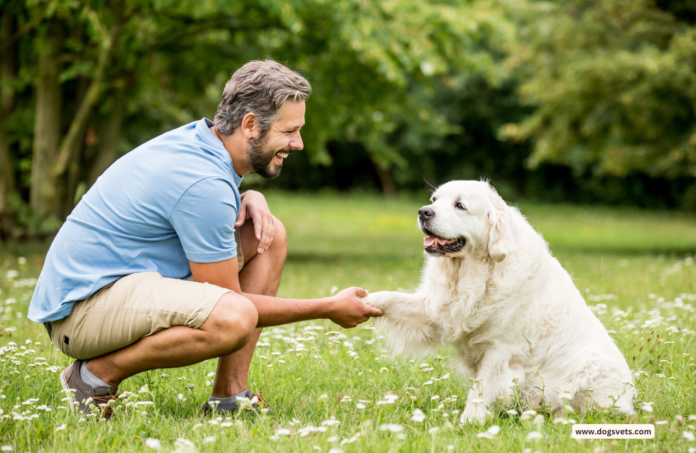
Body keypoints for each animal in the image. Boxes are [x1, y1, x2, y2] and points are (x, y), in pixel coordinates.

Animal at [364, 179, 636, 420]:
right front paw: (364, 301)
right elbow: (390, 299)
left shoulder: (501, 348)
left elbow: (480, 389)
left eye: (460, 205)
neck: (473, 274)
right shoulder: (437, 311)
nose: (423, 212)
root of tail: (630, 400)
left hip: (590, 366)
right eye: (434, 200)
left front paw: (468, 423)